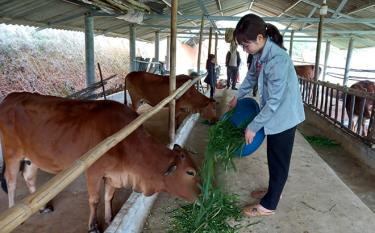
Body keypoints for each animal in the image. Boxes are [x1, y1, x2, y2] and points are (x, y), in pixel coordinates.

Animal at [0, 92, 200, 232]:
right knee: (11, 182)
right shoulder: (93, 172)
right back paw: (15, 212)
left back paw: (43, 207)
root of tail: (10, 97)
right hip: (12, 153)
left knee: (29, 177)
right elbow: (95, 200)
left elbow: (108, 197)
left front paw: (110, 219)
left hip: (31, 158)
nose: (201, 195)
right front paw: (93, 226)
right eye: (190, 172)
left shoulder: (113, 175)